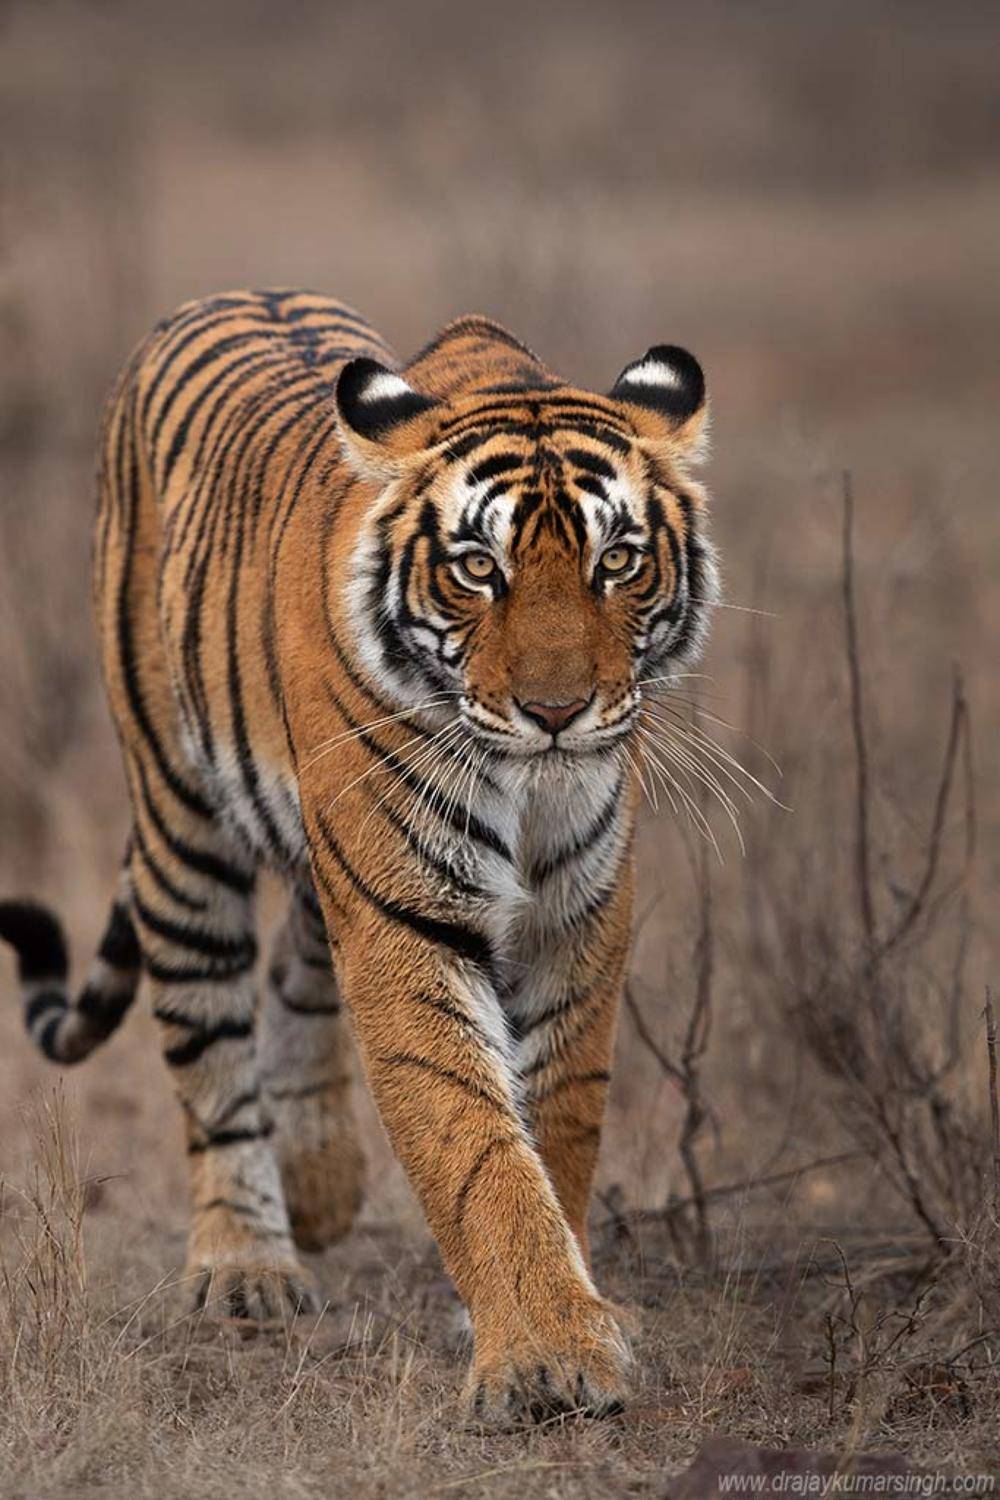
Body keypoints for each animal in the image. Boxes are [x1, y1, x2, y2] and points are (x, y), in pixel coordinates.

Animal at [0, 289, 717, 1424]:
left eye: (617, 561)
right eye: (479, 568)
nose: (557, 713)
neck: (529, 784)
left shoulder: (577, 920)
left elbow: (557, 1124)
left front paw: (569, 1314)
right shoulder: (408, 918)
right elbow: (475, 1142)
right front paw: (547, 1359)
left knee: (298, 969)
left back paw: (320, 1181)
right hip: (179, 823)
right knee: (209, 1044)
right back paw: (246, 1264)